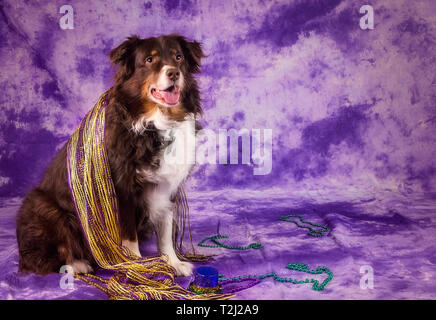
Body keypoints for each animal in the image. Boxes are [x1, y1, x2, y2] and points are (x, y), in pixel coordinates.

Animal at [16, 33, 206, 276]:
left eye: (178, 57)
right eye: (149, 60)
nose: (174, 72)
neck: (157, 121)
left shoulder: (168, 185)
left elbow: (165, 229)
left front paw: (172, 262)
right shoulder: (122, 189)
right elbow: (130, 237)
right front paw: (137, 267)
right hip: (44, 206)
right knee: (43, 257)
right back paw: (76, 264)